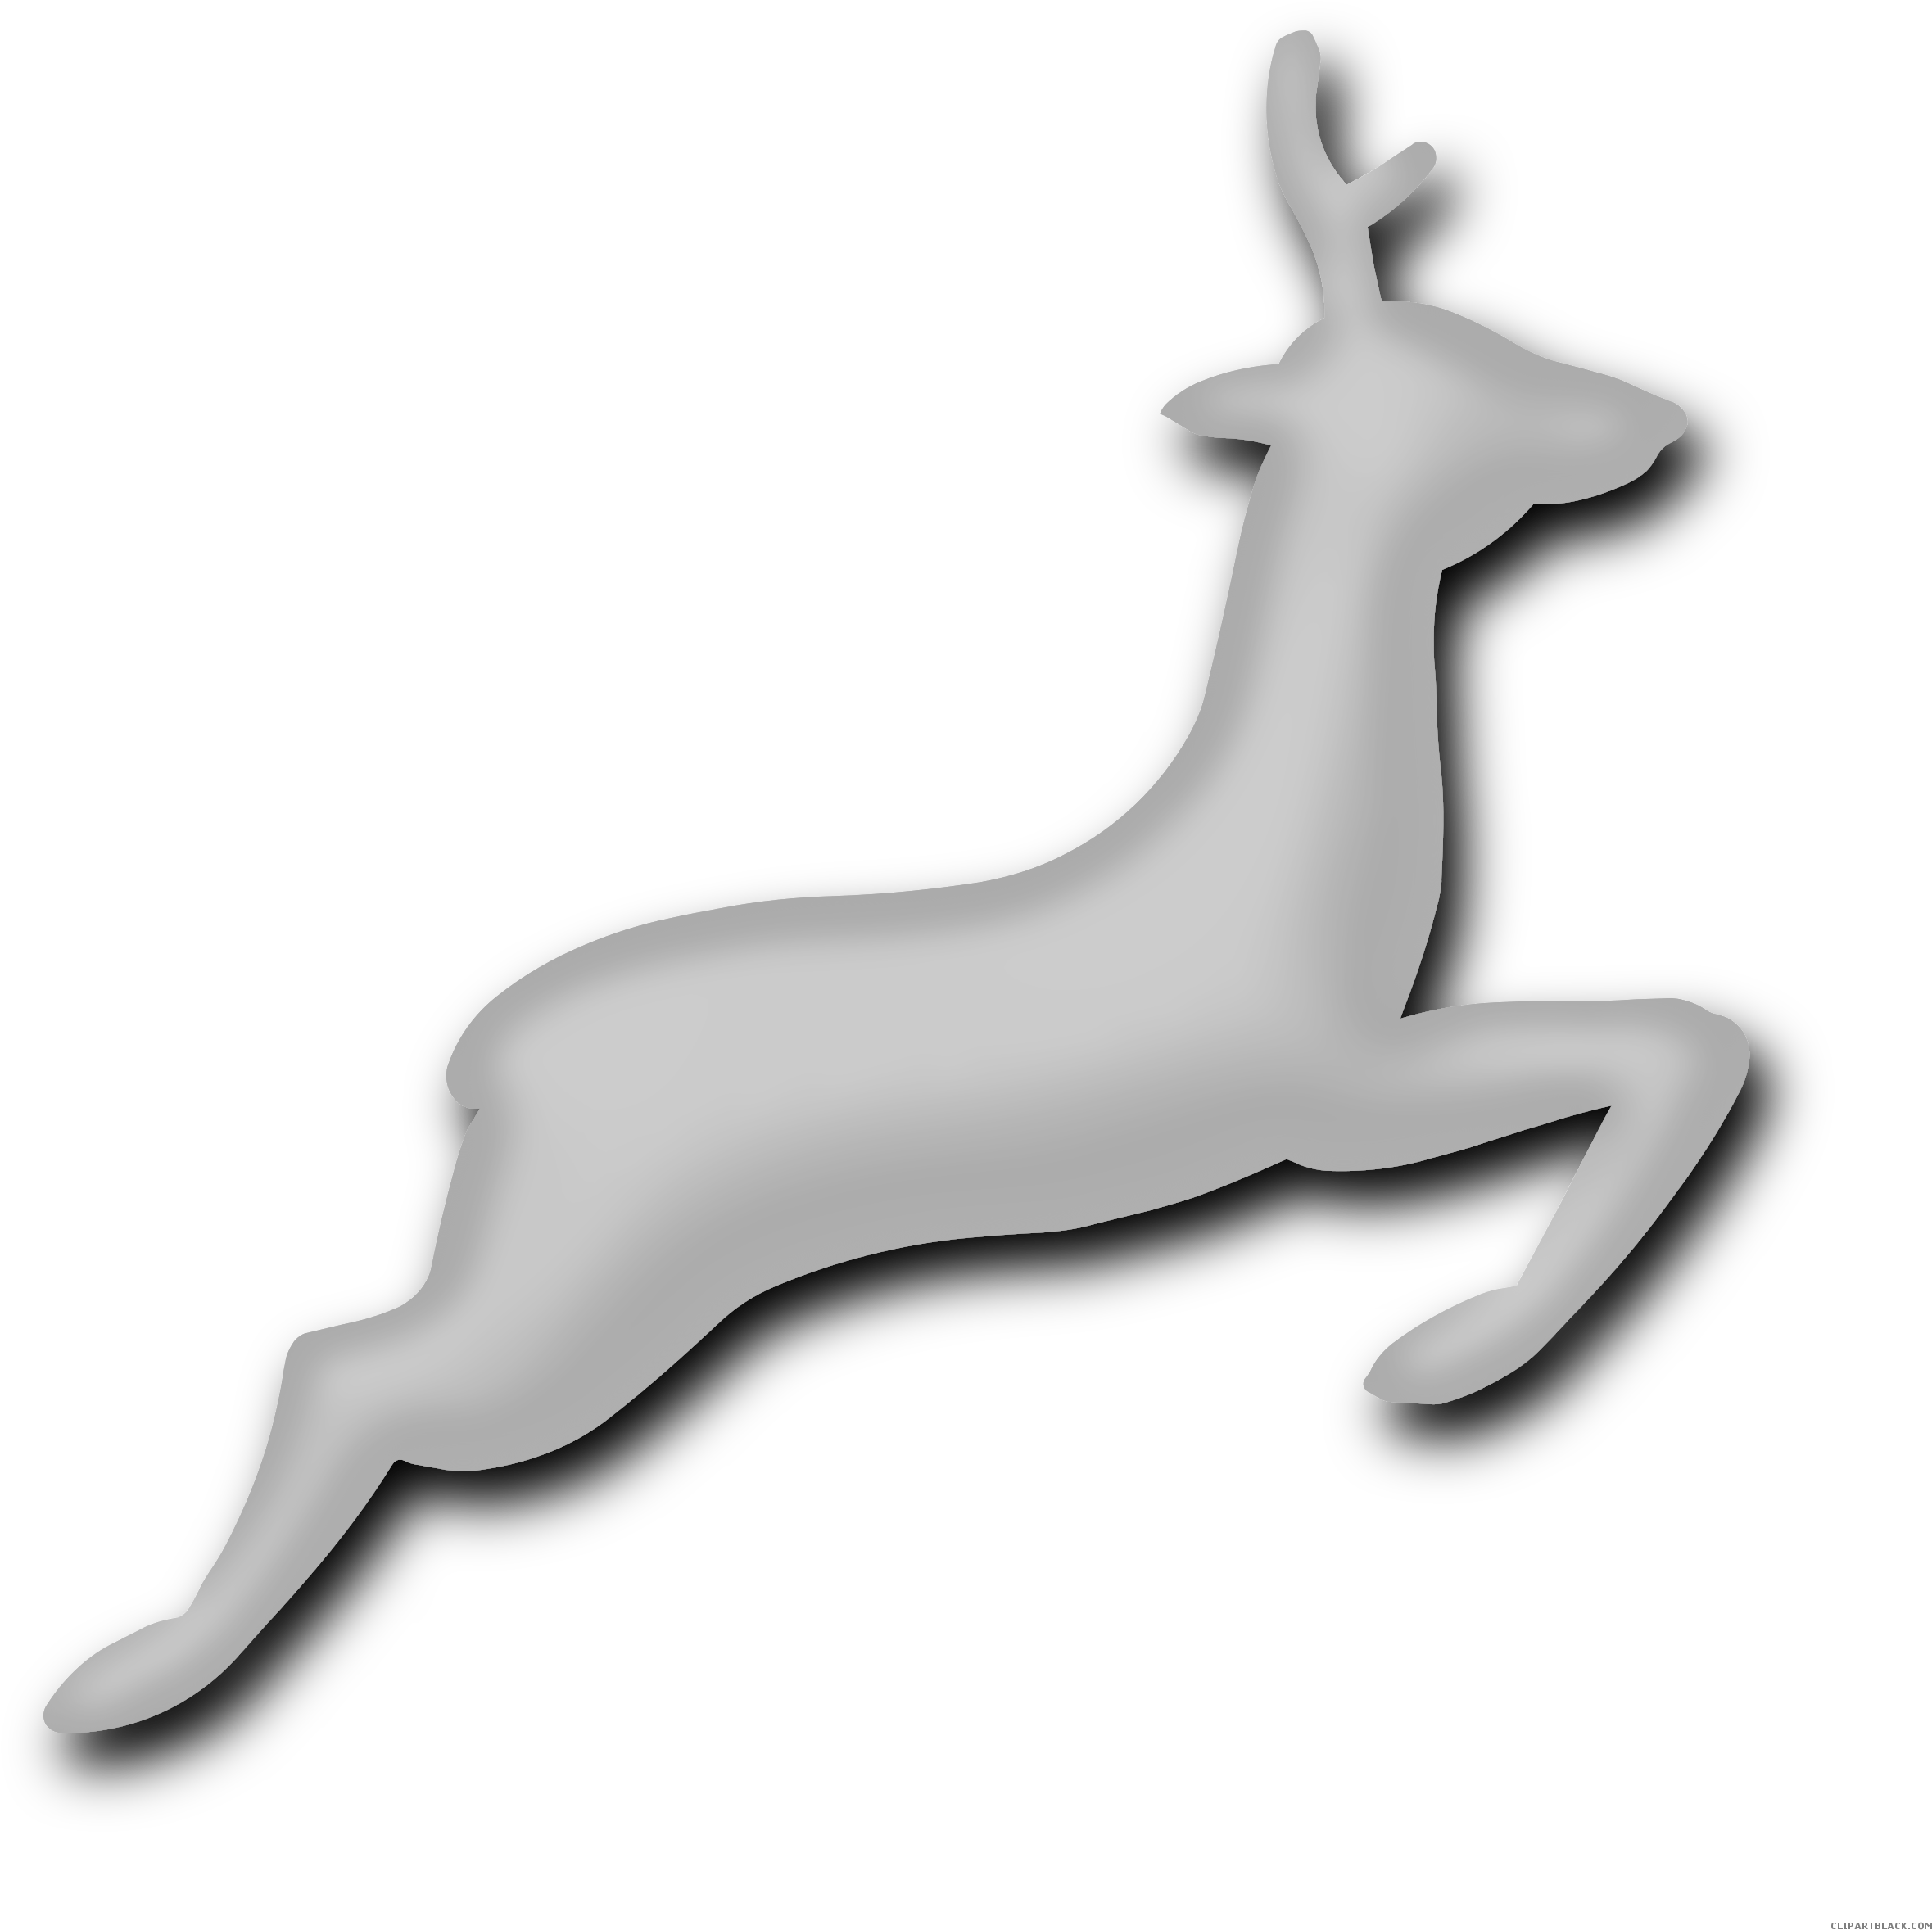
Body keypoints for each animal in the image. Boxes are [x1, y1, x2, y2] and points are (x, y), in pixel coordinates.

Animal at [45, 30, 1746, 1733]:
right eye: (1463, 368)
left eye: (1490, 333)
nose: (1652, 412)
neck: (1303, 861)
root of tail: (491, 1060)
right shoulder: (1317, 1098)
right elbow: (1677, 1040)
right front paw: (1450, 1351)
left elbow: (1679, 1037)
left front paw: (1451, 1343)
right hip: (580, 1288)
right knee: (348, 1363)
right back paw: (127, 1675)